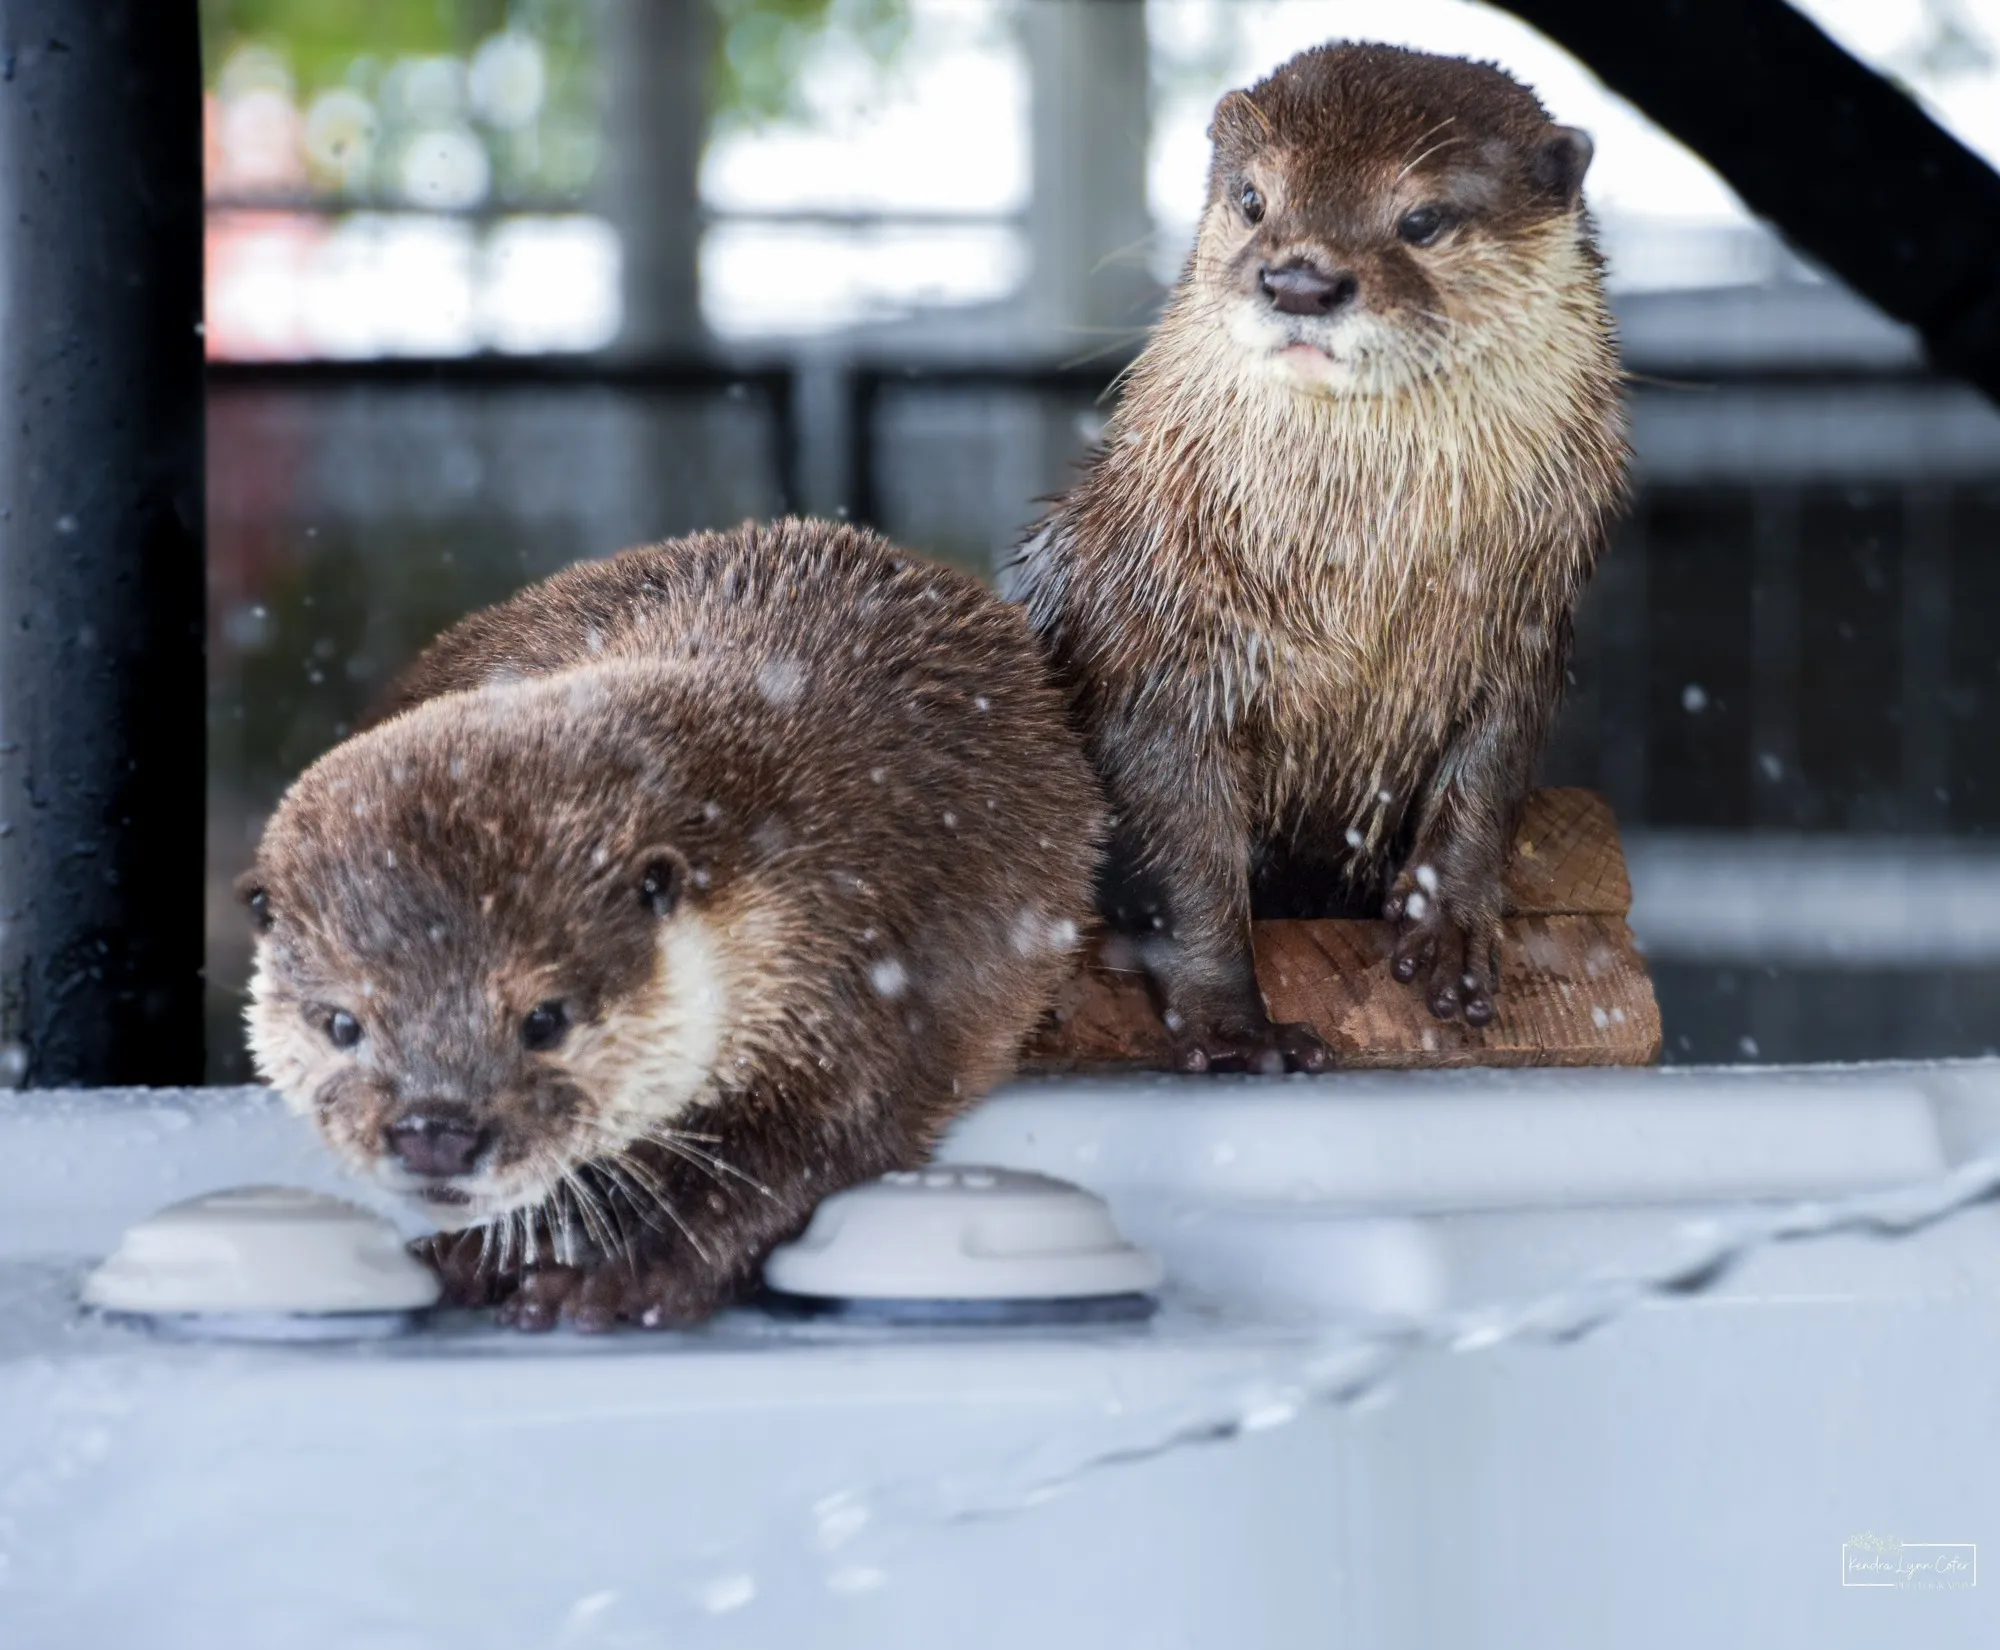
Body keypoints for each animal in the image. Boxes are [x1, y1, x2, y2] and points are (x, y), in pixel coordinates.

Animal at [243, 519, 1104, 1330]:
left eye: (544, 1020)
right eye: (341, 1024)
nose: (435, 1131)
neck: (780, 853)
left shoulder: (867, 978)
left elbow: (801, 1159)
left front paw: (618, 1278)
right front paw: (485, 1255)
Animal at [1003, 42, 1629, 1072]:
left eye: (1422, 219)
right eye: (1256, 198)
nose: (1300, 280)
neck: (1349, 605)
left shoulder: (1526, 625)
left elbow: (1490, 775)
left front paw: (1450, 925)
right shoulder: (1151, 653)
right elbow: (1182, 849)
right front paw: (1232, 1027)